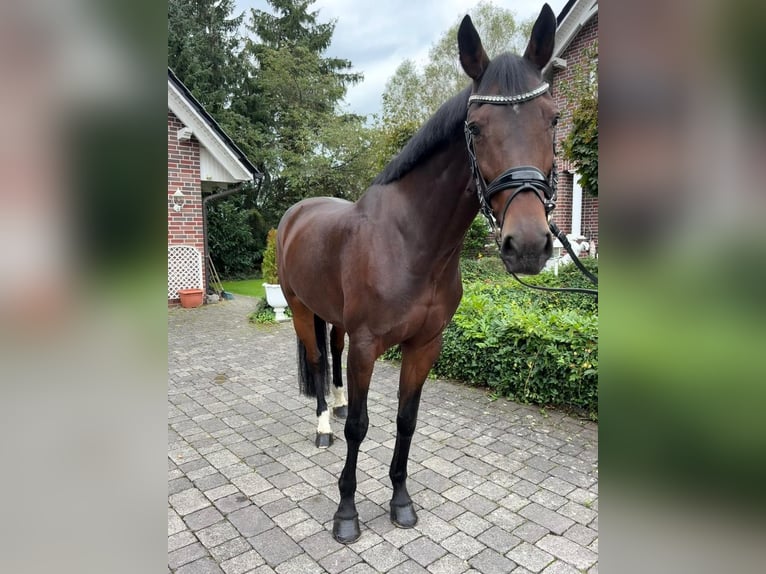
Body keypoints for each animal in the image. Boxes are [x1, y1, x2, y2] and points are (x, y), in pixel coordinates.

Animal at [276, 4, 559, 543]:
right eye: (475, 126)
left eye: (553, 119)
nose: (529, 245)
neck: (411, 244)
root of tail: (297, 212)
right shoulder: (369, 345)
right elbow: (360, 426)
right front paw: (347, 513)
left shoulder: (426, 344)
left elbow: (406, 421)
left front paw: (401, 501)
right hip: (300, 307)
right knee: (318, 363)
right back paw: (323, 426)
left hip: (334, 317)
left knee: (332, 353)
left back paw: (336, 404)